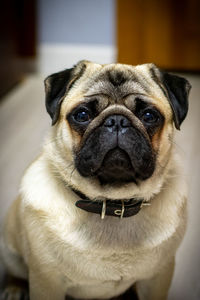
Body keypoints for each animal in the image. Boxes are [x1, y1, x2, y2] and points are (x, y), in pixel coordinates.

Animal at [0, 61, 191, 300]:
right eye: (82, 115)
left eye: (149, 116)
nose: (117, 120)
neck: (112, 204)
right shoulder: (46, 279)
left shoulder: (158, 277)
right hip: (10, 248)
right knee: (15, 270)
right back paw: (14, 287)